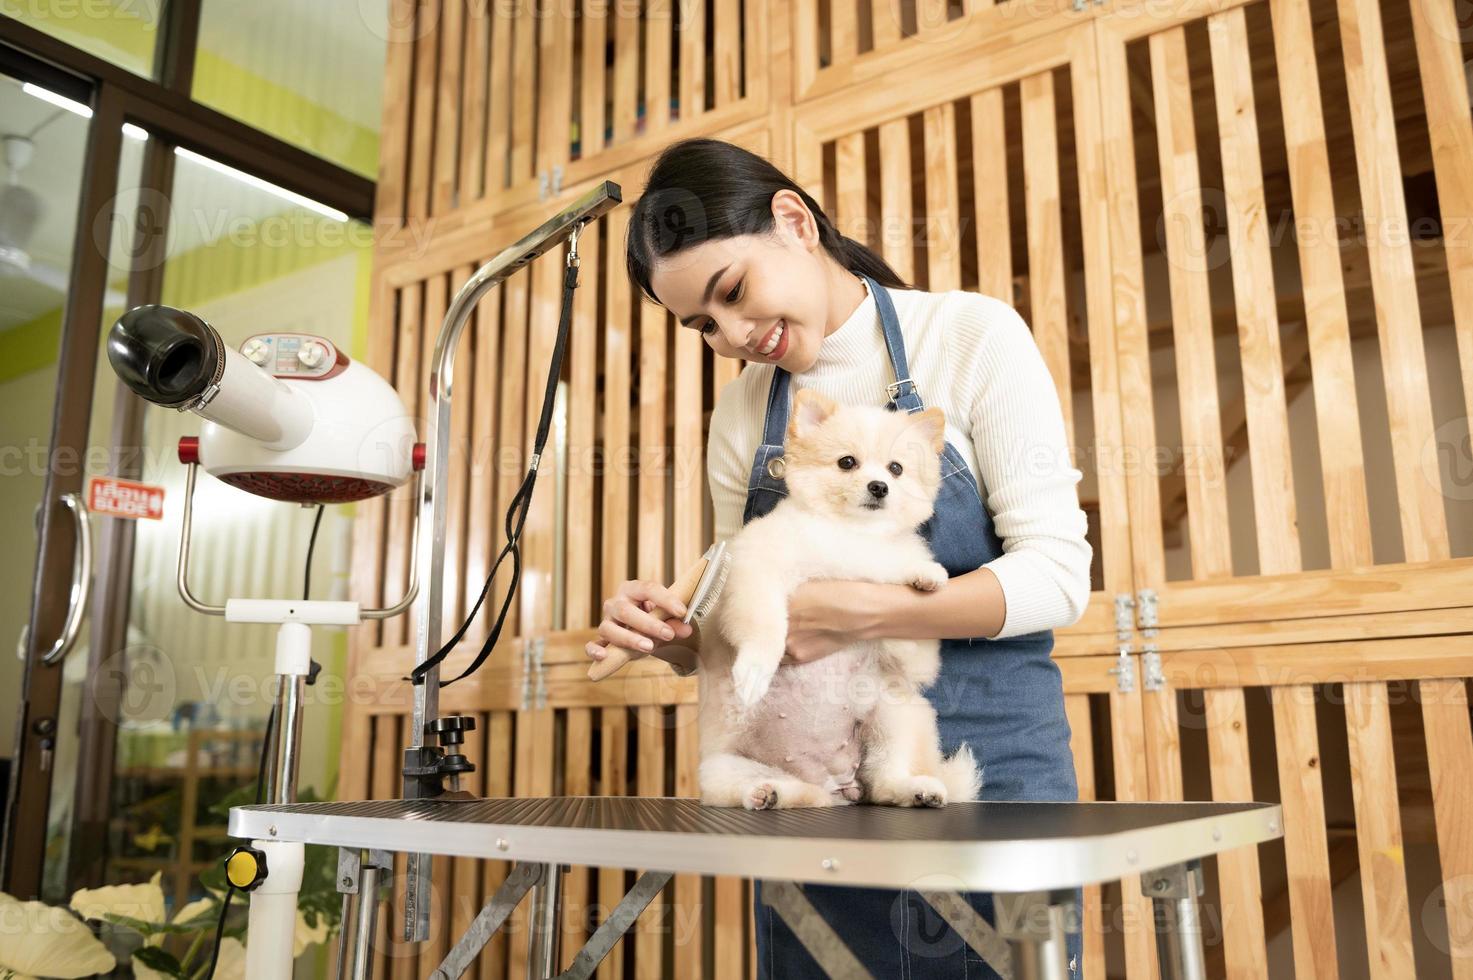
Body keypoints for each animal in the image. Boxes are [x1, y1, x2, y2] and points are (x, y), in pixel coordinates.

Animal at [698, 386, 983, 807]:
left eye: (896, 469)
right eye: (847, 463)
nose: (879, 486)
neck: (852, 535)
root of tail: (833, 783)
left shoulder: (914, 662)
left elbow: (909, 645)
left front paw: (922, 576)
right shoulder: (757, 568)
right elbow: (765, 624)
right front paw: (755, 668)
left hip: (894, 713)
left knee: (885, 783)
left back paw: (917, 789)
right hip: (722, 766)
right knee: (756, 786)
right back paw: (766, 792)